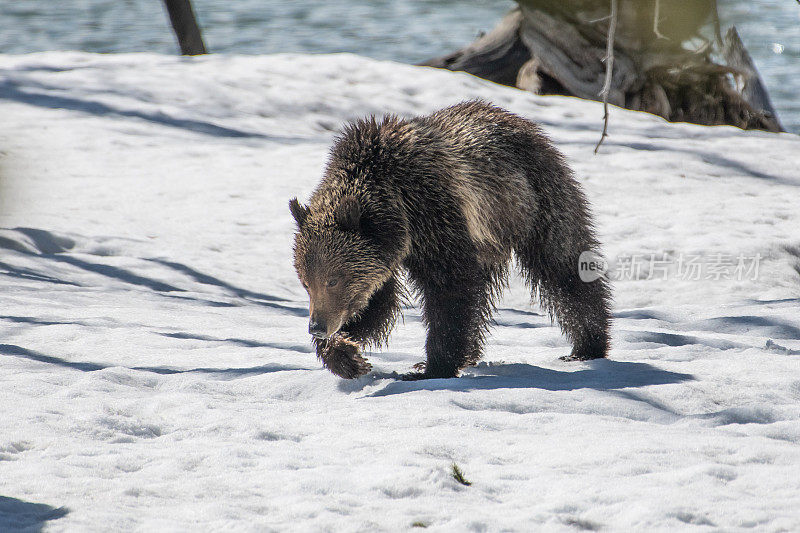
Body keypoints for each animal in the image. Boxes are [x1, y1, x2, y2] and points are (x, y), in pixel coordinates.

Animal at [290, 100, 608, 378]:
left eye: (333, 279)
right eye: (306, 282)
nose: (316, 326)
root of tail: (515, 118)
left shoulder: (434, 214)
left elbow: (449, 289)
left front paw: (432, 368)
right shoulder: (381, 256)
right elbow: (378, 304)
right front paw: (347, 356)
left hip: (534, 201)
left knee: (563, 266)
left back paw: (587, 345)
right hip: (488, 238)